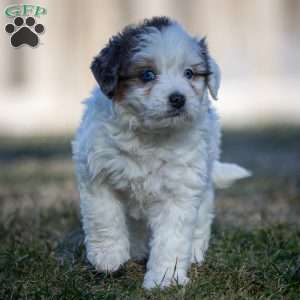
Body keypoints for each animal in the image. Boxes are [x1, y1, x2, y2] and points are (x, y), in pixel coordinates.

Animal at [71, 16, 250, 288]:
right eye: (147, 74)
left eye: (189, 73)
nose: (178, 99)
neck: (151, 135)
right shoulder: (96, 174)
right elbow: (104, 218)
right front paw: (108, 258)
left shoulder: (181, 190)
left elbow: (172, 238)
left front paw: (165, 280)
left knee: (201, 219)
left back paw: (194, 252)